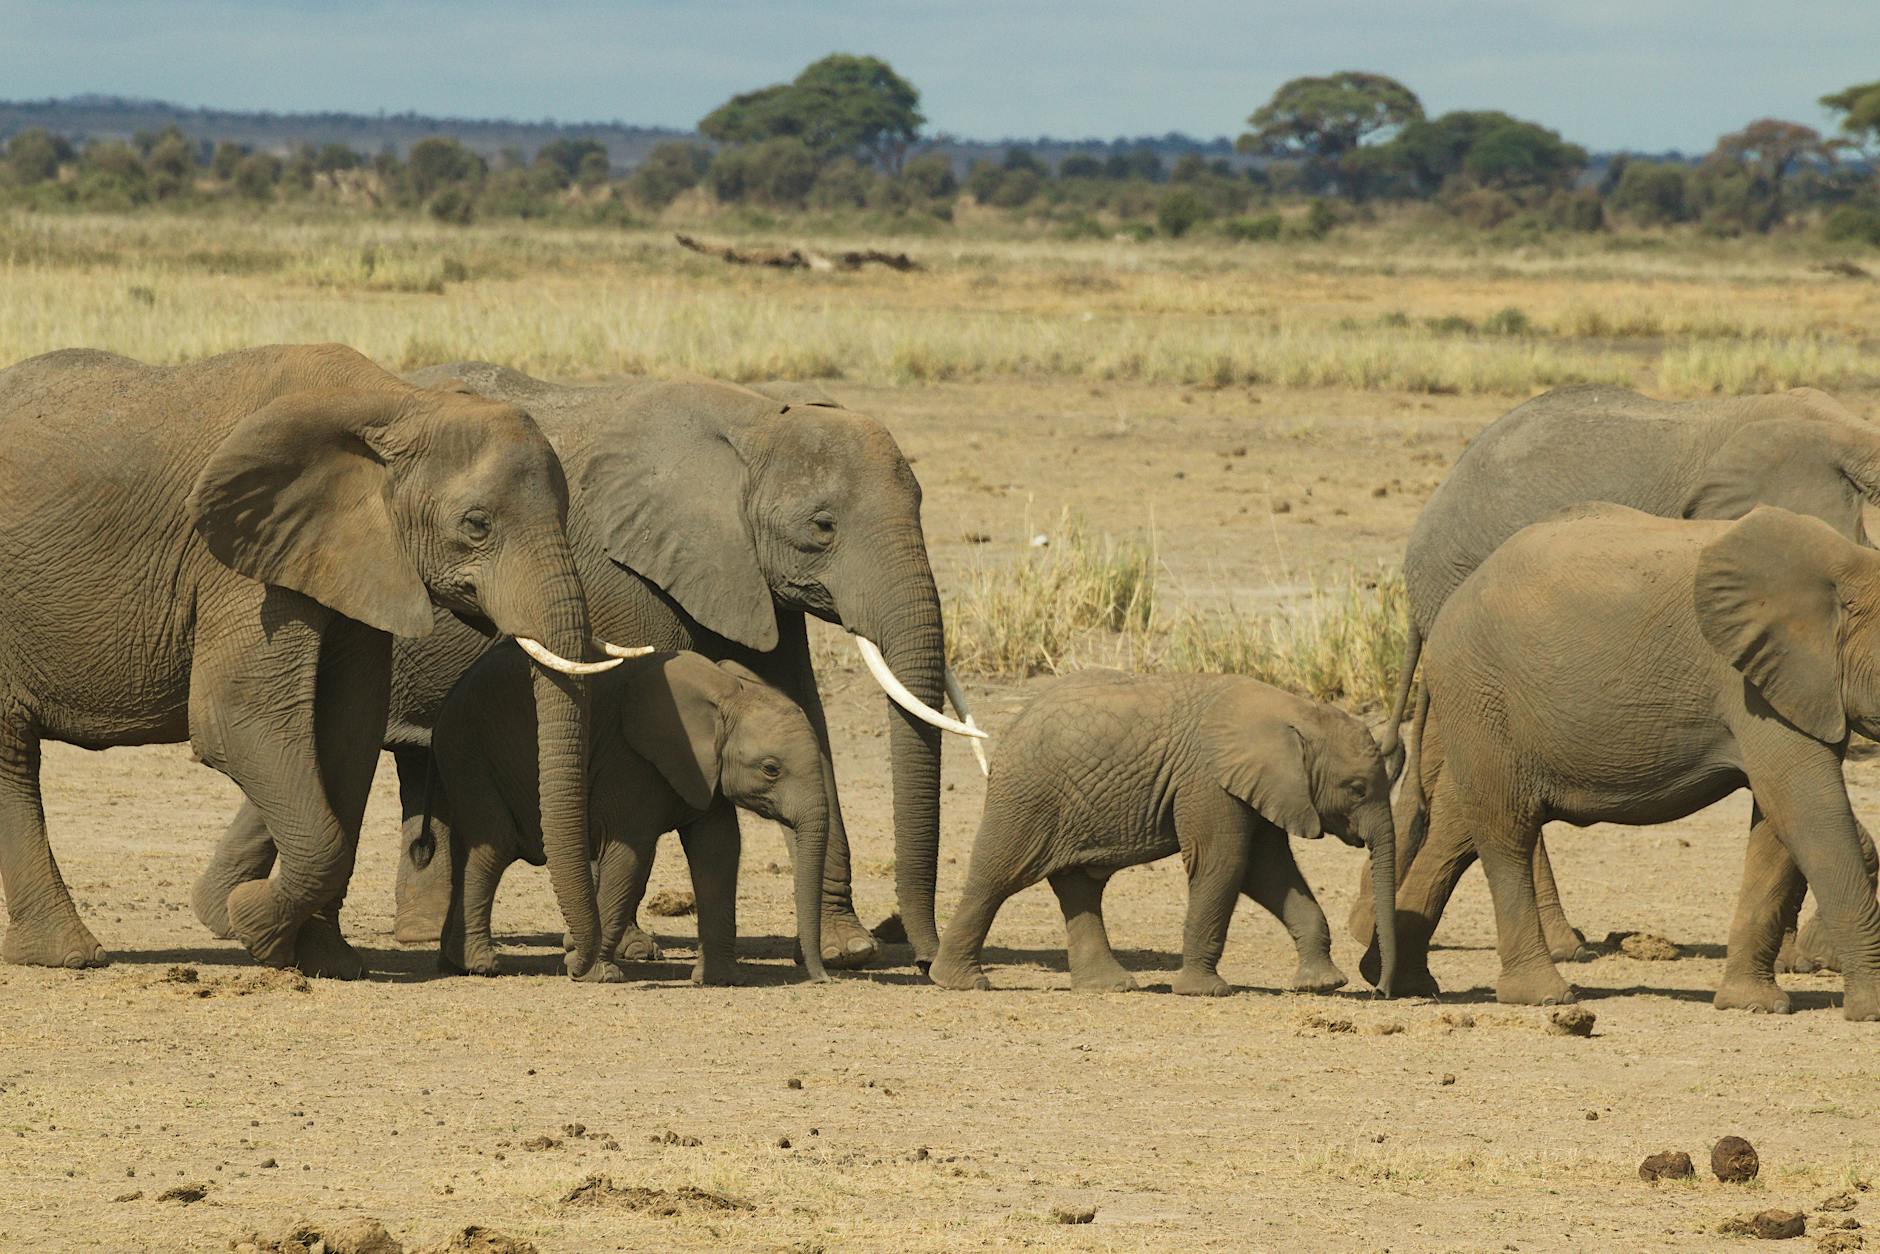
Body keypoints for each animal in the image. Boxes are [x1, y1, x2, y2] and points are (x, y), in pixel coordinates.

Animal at [0, 344, 621, 978]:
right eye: (476, 525)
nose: (583, 965)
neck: (396, 403)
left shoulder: (352, 556)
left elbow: (348, 731)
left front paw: (327, 960)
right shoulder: (239, 559)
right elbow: (237, 718)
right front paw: (253, 927)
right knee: (13, 755)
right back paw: (71, 956)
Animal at [432, 647, 830, 984]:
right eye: (770, 769)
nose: (822, 978)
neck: (727, 693)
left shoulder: (707, 772)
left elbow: (719, 850)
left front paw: (722, 980)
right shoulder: (630, 762)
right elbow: (630, 854)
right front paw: (597, 974)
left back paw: (453, 961)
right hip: (467, 749)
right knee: (495, 845)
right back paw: (481, 965)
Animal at [929, 671, 1398, 998]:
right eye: (1356, 789)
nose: (1380, 991)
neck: (1295, 712)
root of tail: (1014, 723)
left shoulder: (1262, 788)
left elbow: (1269, 873)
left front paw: (1322, 985)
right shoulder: (1208, 781)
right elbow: (1224, 863)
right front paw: (1205, 992)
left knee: (1078, 886)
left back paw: (1110, 987)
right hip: (1026, 794)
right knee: (996, 877)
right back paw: (962, 983)